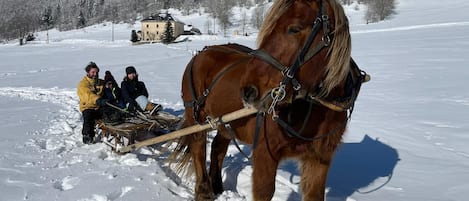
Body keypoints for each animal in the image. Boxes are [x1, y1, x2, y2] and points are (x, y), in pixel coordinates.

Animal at [168, 0, 366, 200]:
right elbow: (264, 191)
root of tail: (201, 53)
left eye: (294, 29)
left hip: (224, 121)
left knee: (218, 147)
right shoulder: (265, 154)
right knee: (198, 147)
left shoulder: (320, 159)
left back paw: (216, 186)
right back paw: (204, 191)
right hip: (196, 118)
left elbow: (314, 194)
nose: (248, 91)